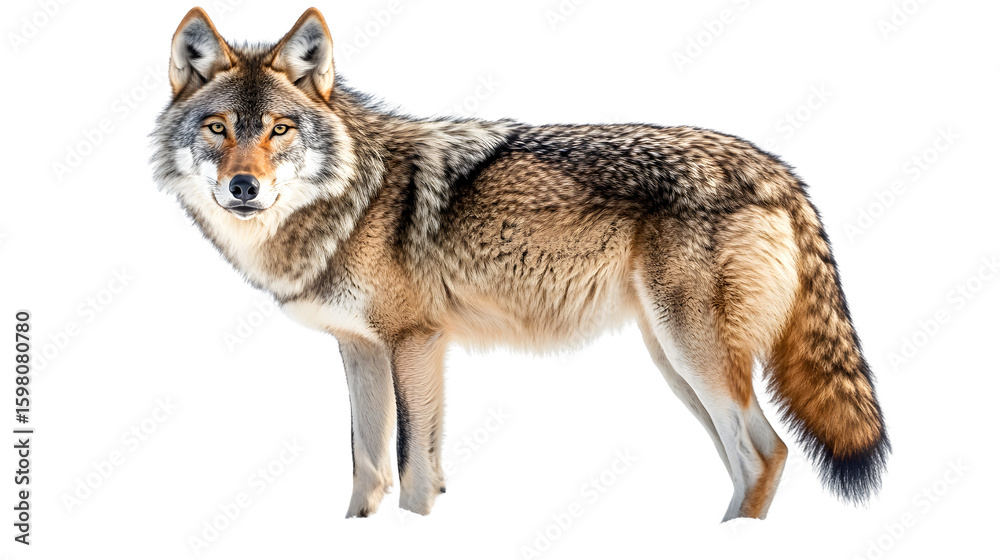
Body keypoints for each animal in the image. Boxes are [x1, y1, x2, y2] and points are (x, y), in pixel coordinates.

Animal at [152, 7, 889, 520]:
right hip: (675, 363)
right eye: (219, 128)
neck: (352, 199)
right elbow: (369, 469)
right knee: (748, 460)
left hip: (695, 356)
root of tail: (778, 169)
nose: (243, 188)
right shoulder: (361, 349)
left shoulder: (417, 342)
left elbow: (413, 470)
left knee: (767, 452)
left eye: (279, 130)